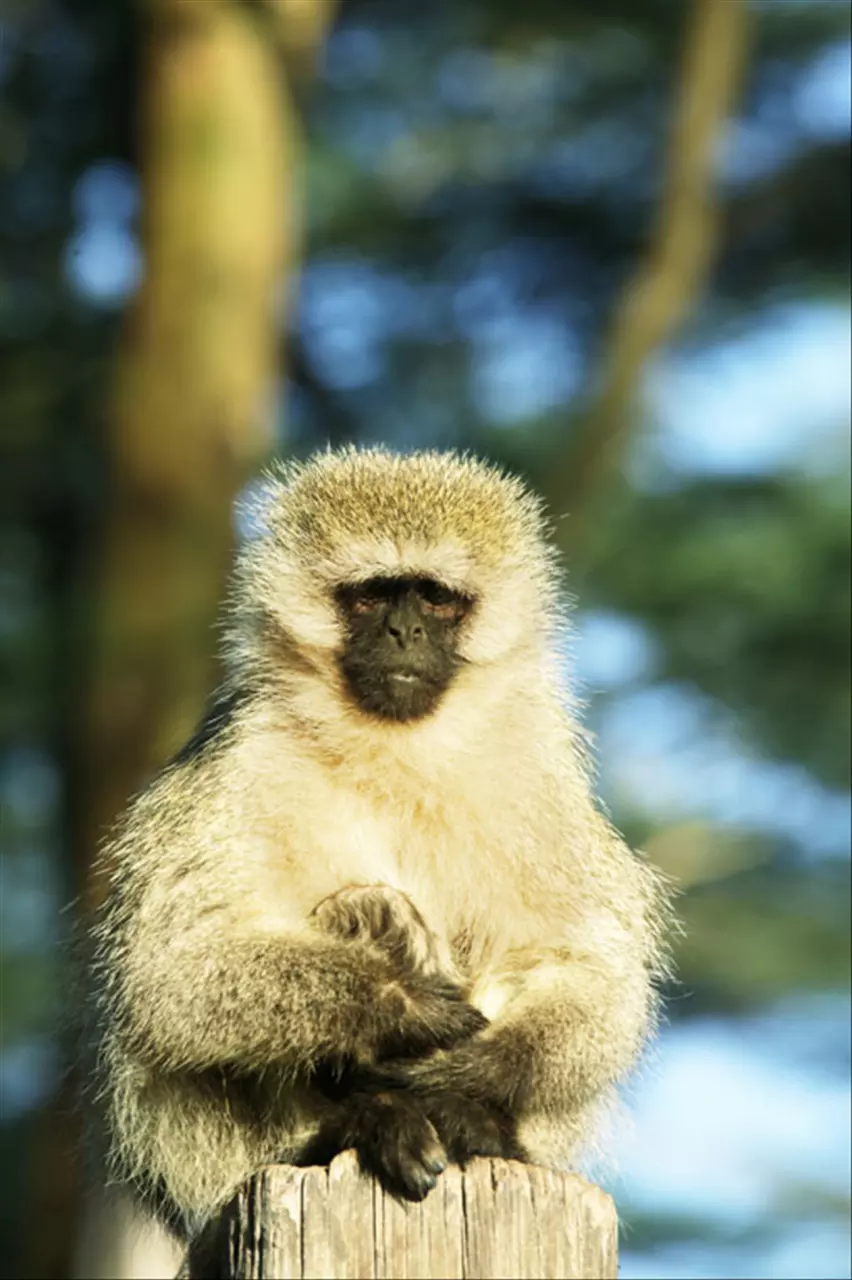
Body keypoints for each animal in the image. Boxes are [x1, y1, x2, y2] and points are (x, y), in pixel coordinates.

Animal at [86, 448, 670, 1239]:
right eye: (371, 596)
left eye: (435, 599)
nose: (403, 635)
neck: (393, 750)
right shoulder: (240, 762)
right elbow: (173, 974)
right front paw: (406, 1006)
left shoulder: (541, 780)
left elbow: (595, 970)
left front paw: (477, 1066)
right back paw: (365, 1116)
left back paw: (466, 1120)